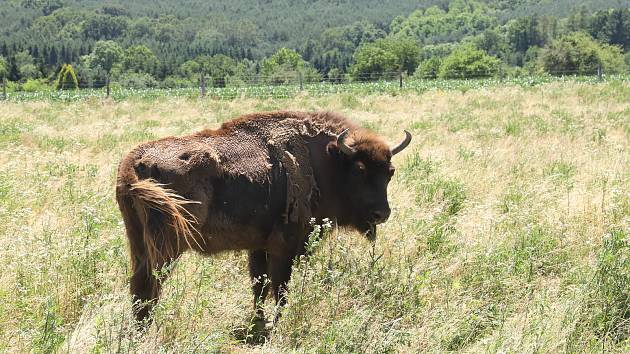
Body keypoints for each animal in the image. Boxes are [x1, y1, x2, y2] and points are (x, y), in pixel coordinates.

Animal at [116, 110, 412, 324]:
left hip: (138, 241)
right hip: (167, 246)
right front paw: (278, 322)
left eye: (390, 172)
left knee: (138, 284)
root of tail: (134, 161)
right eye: (360, 170)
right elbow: (280, 288)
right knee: (150, 284)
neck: (326, 161)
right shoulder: (286, 246)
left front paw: (259, 321)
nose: (381, 214)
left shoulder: (259, 245)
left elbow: (260, 285)